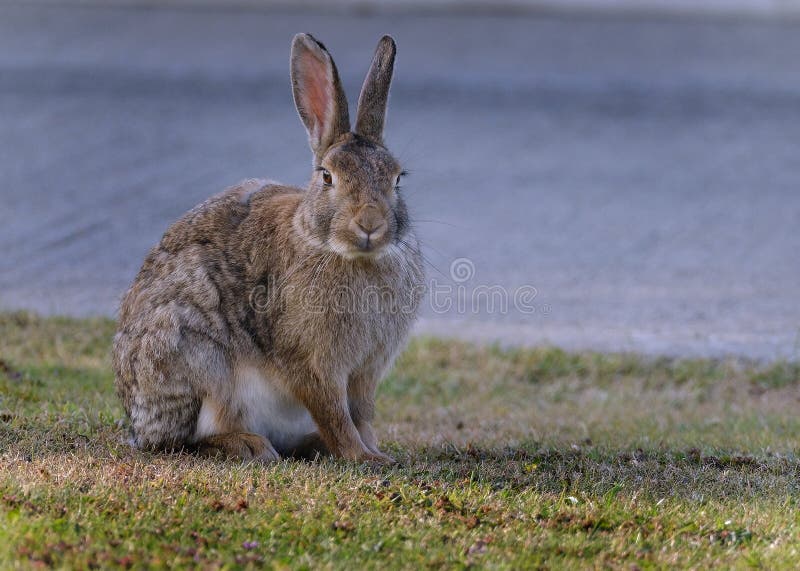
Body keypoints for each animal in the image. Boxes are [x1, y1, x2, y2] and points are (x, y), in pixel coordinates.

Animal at [112, 34, 424, 464]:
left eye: (397, 178)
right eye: (327, 177)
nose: (370, 224)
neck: (342, 251)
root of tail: (137, 426)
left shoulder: (366, 371)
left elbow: (361, 415)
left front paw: (376, 452)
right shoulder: (312, 364)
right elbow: (335, 414)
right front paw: (362, 457)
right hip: (195, 357)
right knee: (188, 439)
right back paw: (250, 445)